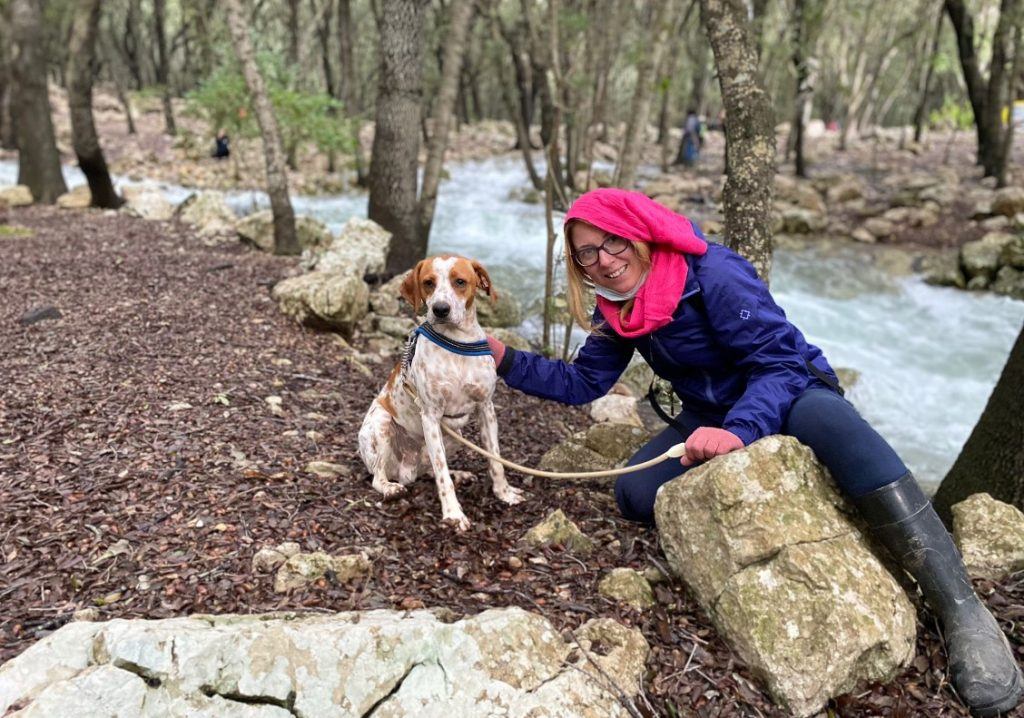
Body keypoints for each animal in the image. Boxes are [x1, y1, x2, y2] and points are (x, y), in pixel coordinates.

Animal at [356, 255, 524, 528]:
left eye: (460, 281)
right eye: (428, 283)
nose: (440, 309)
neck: (457, 345)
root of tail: (407, 469)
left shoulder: (486, 408)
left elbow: (495, 460)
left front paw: (504, 493)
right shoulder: (431, 416)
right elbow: (441, 473)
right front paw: (453, 513)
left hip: (455, 435)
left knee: (428, 471)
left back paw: (459, 474)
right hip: (381, 425)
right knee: (381, 476)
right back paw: (391, 488)